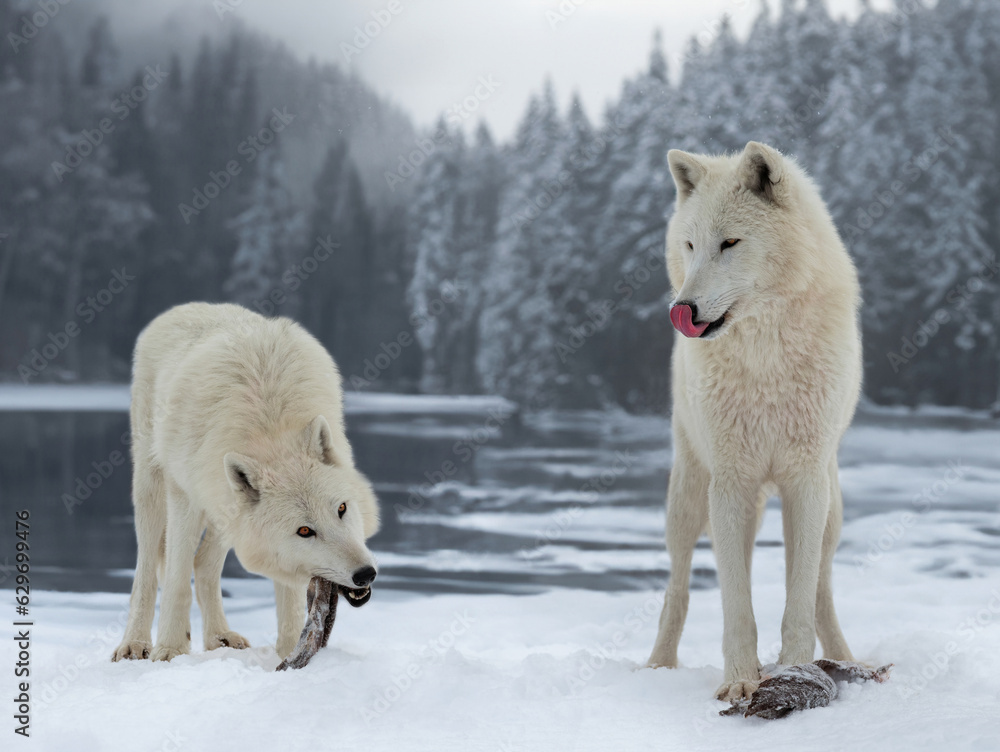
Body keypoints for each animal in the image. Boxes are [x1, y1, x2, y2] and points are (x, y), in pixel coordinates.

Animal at [112, 303, 380, 662]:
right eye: (305, 530)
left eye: (341, 509)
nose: (365, 573)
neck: (269, 428)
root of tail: (185, 307)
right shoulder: (185, 497)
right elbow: (177, 580)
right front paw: (170, 649)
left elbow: (289, 597)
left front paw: (289, 651)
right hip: (153, 490)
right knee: (148, 572)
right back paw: (136, 643)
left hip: (225, 509)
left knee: (203, 564)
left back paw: (219, 638)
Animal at [647, 142, 862, 701]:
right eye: (690, 245)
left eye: (730, 243)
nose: (682, 308)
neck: (765, 356)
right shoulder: (731, 483)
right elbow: (735, 602)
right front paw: (742, 681)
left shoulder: (804, 482)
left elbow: (800, 598)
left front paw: (795, 672)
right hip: (690, 501)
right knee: (678, 586)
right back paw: (657, 667)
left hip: (830, 511)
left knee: (822, 586)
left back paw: (847, 659)